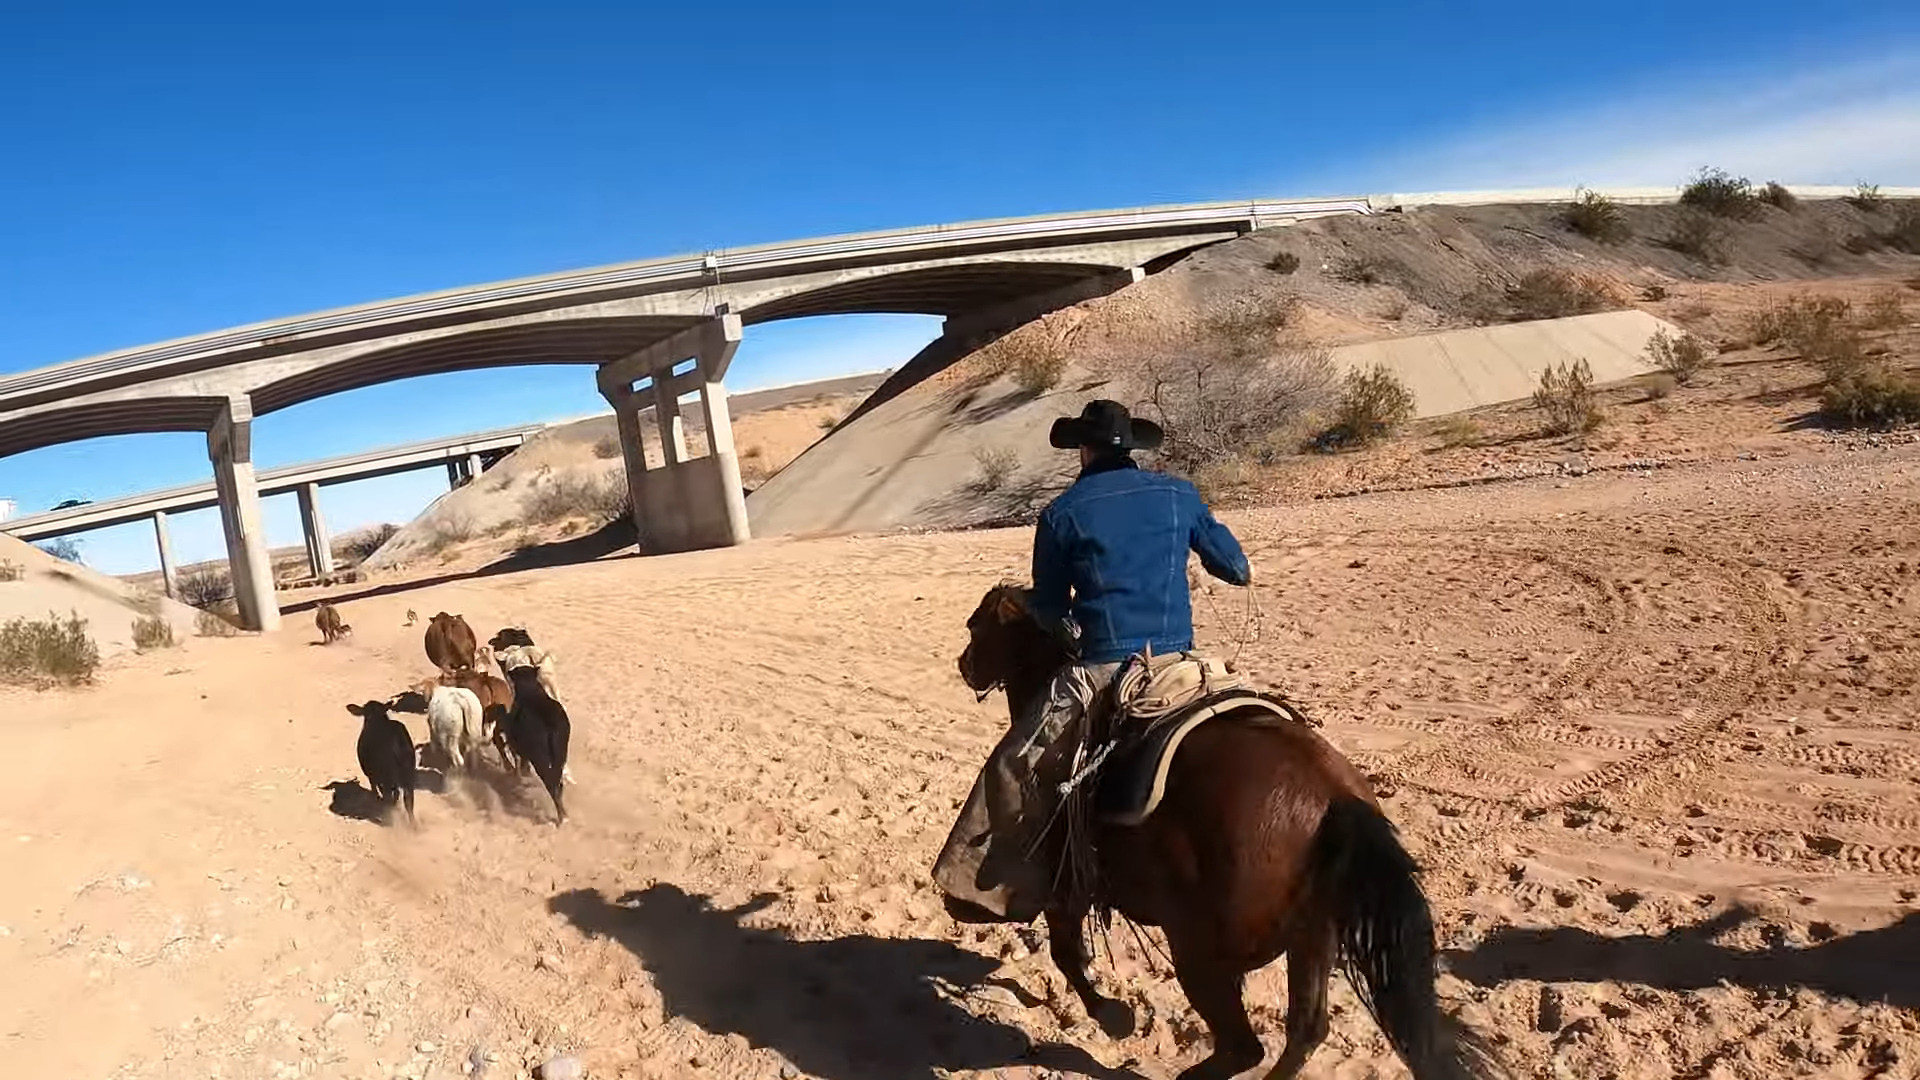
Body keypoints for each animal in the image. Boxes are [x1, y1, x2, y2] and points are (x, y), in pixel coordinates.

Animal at [956, 584, 1497, 1076]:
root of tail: (1332, 797)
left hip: (1198, 950)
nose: (965, 664)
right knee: (1305, 1031)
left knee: (1244, 1047)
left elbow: (1066, 952)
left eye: (977, 625)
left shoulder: (1065, 884)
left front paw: (1112, 1016)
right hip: (1310, 938)